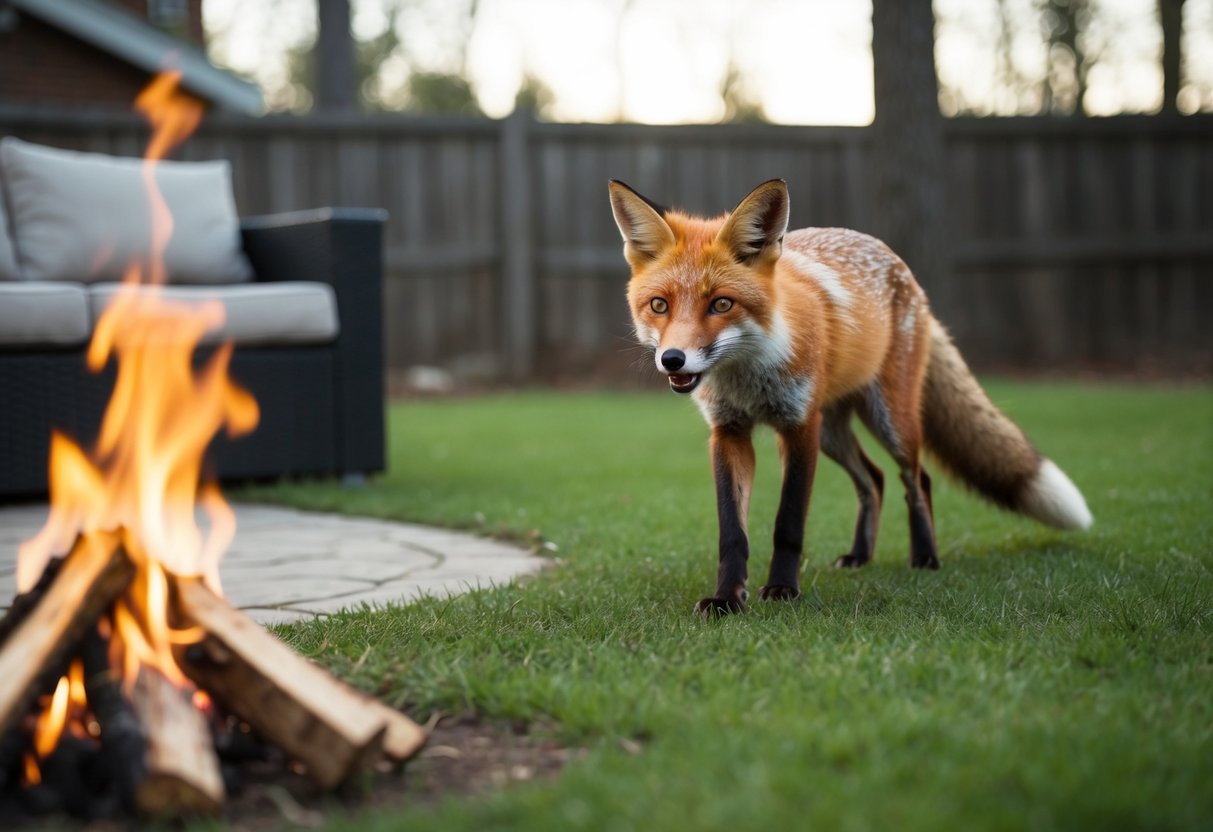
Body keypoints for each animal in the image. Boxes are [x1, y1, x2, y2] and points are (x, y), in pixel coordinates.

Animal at [608, 178, 1093, 616]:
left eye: (721, 304)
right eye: (659, 305)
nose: (673, 360)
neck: (747, 376)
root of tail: (899, 264)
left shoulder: (798, 427)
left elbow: (788, 523)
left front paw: (782, 590)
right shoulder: (729, 433)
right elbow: (733, 533)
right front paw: (728, 598)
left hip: (888, 420)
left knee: (916, 478)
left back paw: (925, 557)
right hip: (834, 433)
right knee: (873, 480)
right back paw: (861, 556)